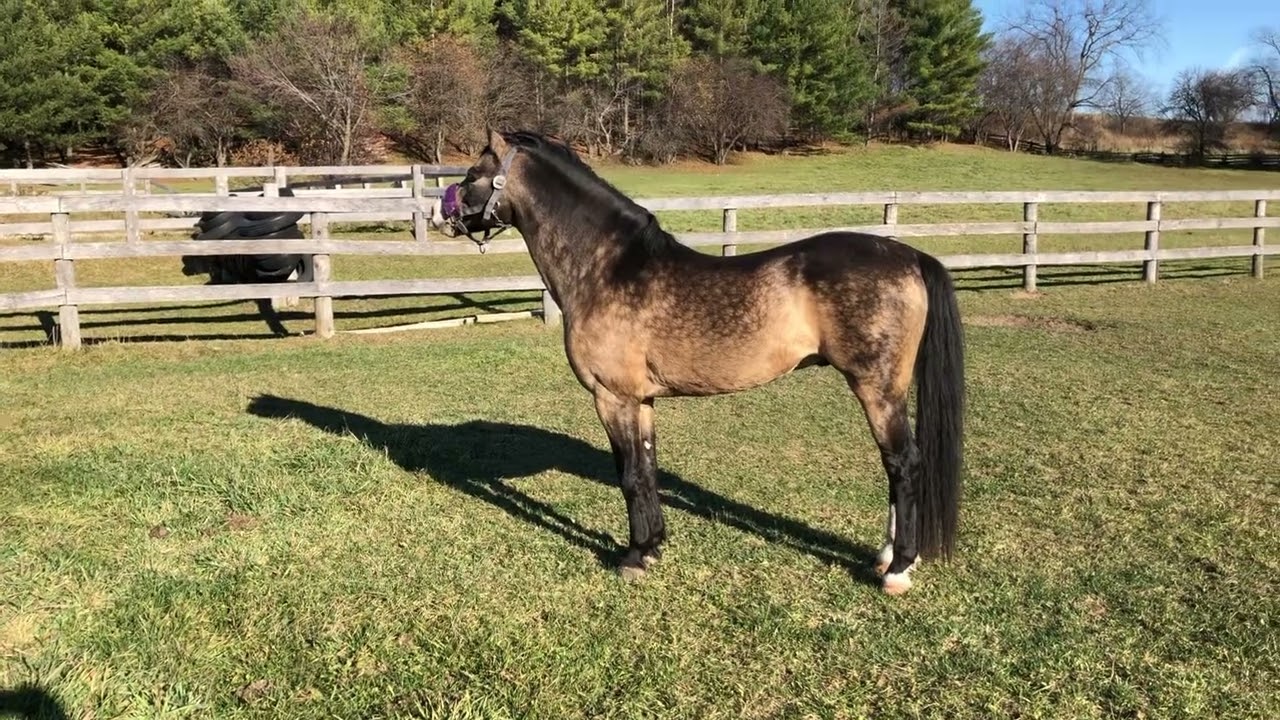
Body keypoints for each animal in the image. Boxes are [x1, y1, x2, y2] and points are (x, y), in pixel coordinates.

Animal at [431, 129, 965, 595]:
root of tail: (910, 255)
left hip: (877, 388)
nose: (441, 214)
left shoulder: (612, 397)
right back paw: (887, 555)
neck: (609, 269)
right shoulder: (642, 400)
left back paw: (897, 569)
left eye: (474, 172)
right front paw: (651, 548)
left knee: (903, 463)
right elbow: (647, 470)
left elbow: (628, 475)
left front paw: (631, 559)